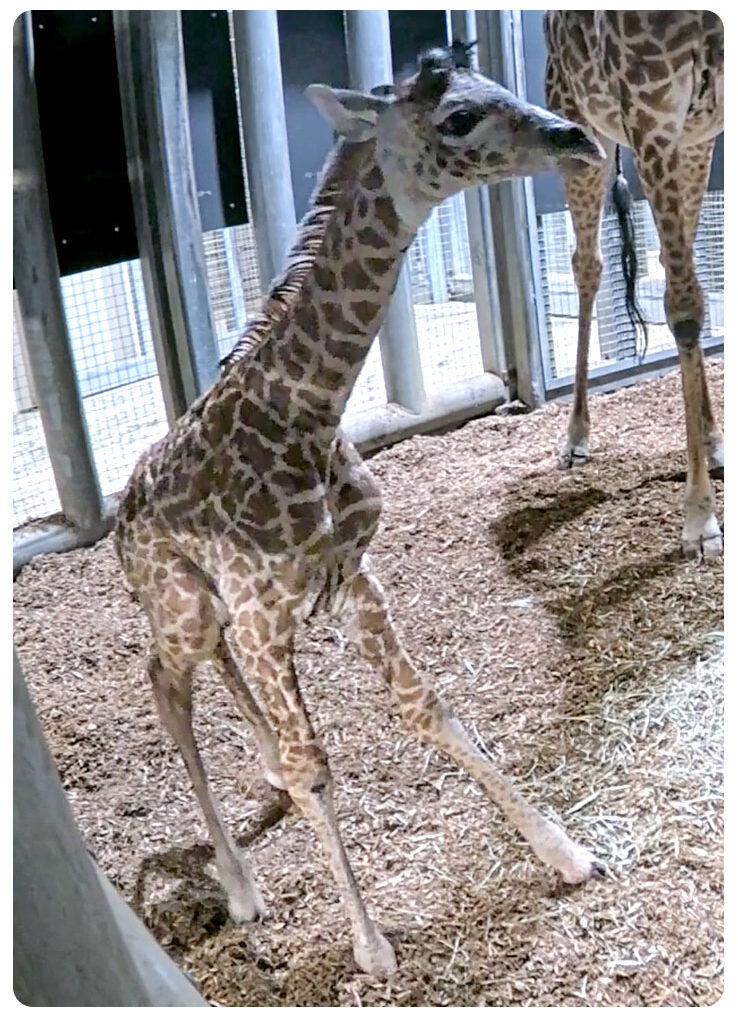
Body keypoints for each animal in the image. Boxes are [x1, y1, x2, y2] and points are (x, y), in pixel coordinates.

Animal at [115, 46, 605, 977]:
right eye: (457, 118)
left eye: (499, 88)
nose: (578, 139)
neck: (305, 418)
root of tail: (118, 525)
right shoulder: (264, 609)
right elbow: (318, 767)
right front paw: (372, 947)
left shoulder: (352, 577)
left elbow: (427, 708)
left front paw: (564, 852)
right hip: (185, 605)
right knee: (164, 683)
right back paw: (241, 889)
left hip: (215, 612)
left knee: (214, 689)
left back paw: (262, 775)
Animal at [544, 11, 724, 559]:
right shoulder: (650, 110)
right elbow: (683, 307)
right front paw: (699, 521)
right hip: (581, 127)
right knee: (588, 263)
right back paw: (576, 437)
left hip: (694, 138)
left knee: (679, 266)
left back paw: (713, 441)